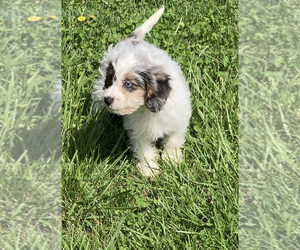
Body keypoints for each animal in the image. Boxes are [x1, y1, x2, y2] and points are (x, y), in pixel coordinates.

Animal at [91, 5, 191, 178]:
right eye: (111, 79)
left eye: (128, 84)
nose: (107, 100)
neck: (148, 110)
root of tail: (132, 40)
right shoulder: (137, 131)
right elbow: (144, 149)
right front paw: (149, 169)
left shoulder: (179, 120)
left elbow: (173, 140)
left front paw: (171, 159)